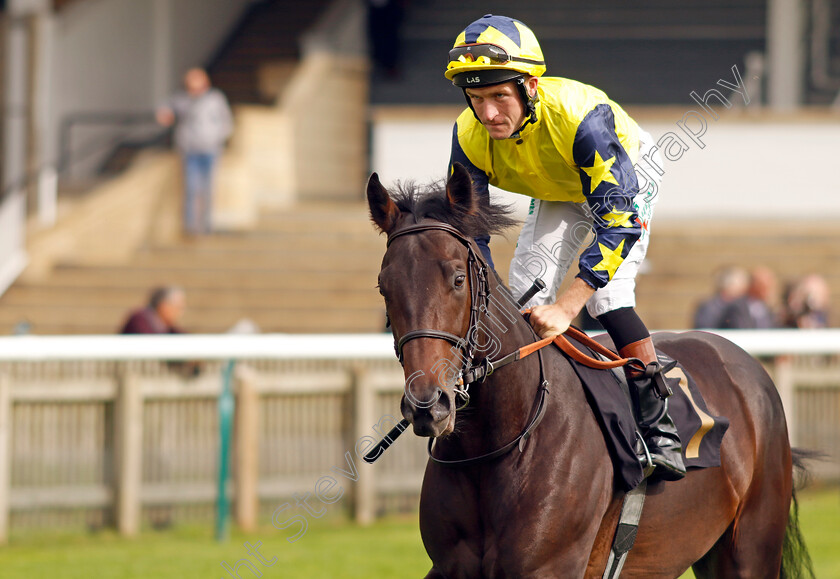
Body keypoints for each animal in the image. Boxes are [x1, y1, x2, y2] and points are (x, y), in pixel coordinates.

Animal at [370, 164, 812, 579]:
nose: (428, 406)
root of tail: (741, 359)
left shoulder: (549, 568)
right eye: (384, 287)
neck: (495, 447)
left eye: (458, 279)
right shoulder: (450, 567)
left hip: (751, 548)